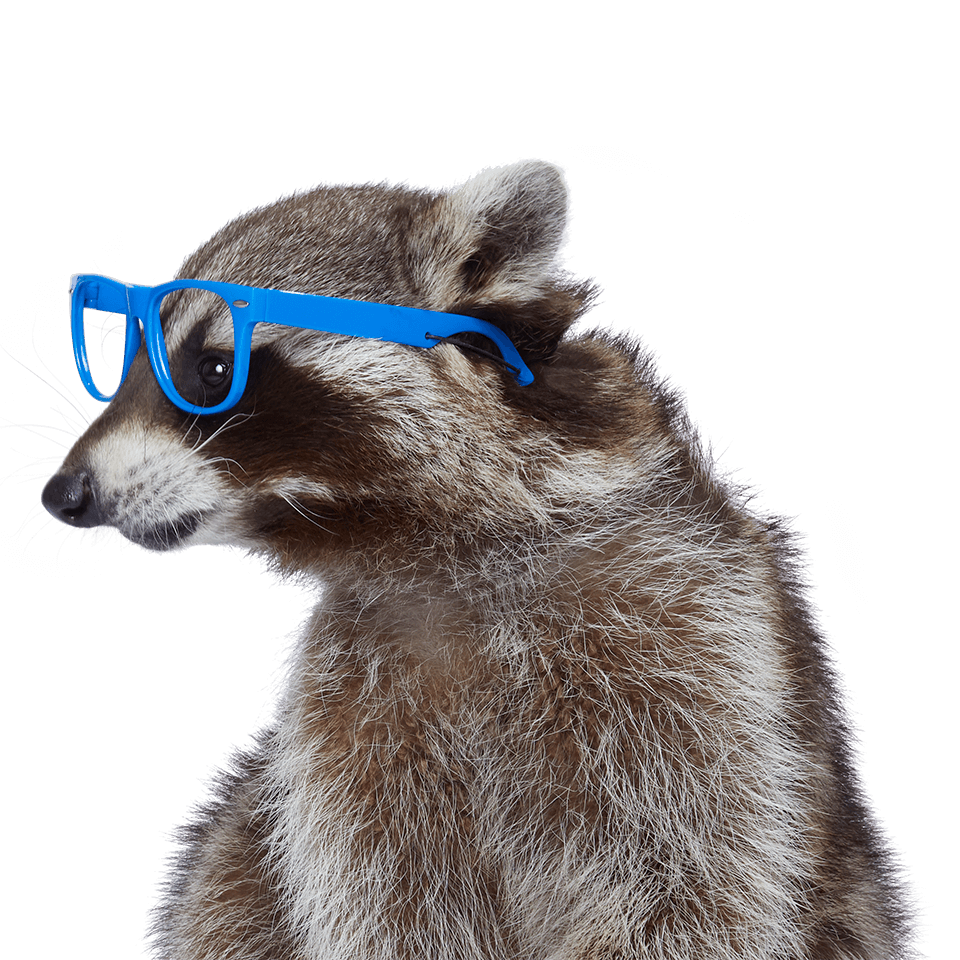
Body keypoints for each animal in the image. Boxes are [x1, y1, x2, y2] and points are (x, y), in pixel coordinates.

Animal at [38, 160, 924, 959]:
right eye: (122, 361)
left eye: (213, 368)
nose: (63, 493)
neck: (424, 550)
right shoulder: (348, 720)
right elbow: (392, 905)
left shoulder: (687, 640)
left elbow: (691, 884)